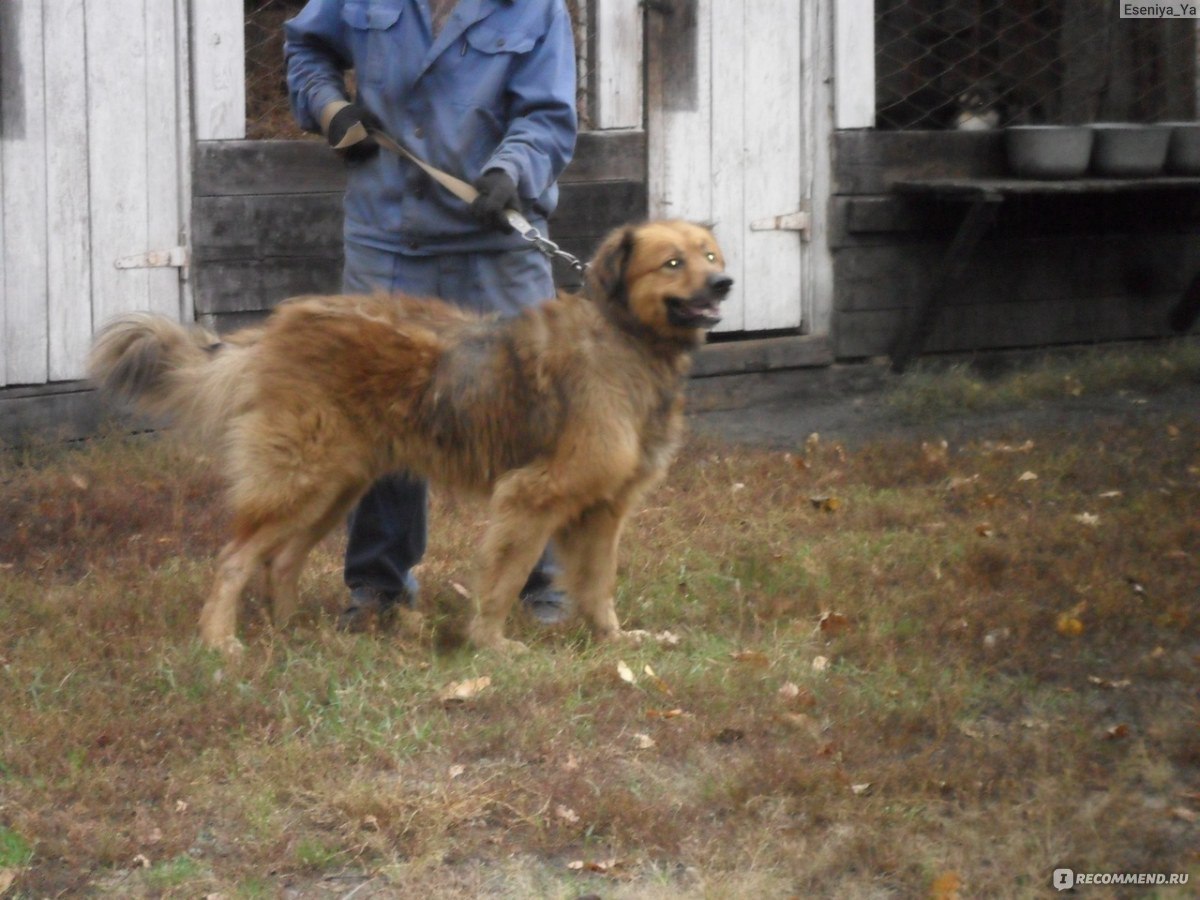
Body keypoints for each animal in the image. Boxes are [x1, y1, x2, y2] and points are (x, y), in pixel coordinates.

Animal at [88, 218, 729, 657]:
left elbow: (598, 585)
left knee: (282, 559)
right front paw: (491, 645)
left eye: (709, 255)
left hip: (334, 488)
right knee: (233, 559)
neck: (626, 340)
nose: (724, 282)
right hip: (302, 480)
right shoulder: (532, 495)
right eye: (672, 263)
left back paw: (297, 630)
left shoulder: (603, 508)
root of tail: (276, 327)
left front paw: (616, 643)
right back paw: (221, 641)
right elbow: (504, 578)